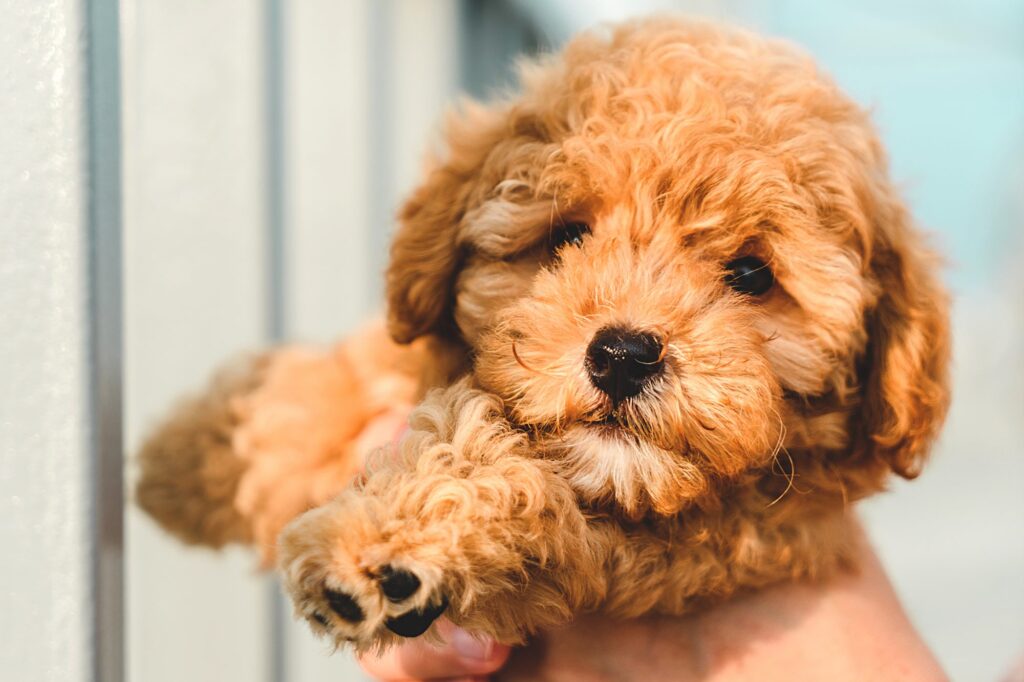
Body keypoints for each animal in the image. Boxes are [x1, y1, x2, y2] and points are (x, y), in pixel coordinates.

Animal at [134, 17, 942, 655]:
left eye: (751, 274)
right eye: (567, 236)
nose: (623, 355)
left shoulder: (701, 545)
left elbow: (508, 474)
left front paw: (385, 544)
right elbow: (361, 369)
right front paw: (198, 453)